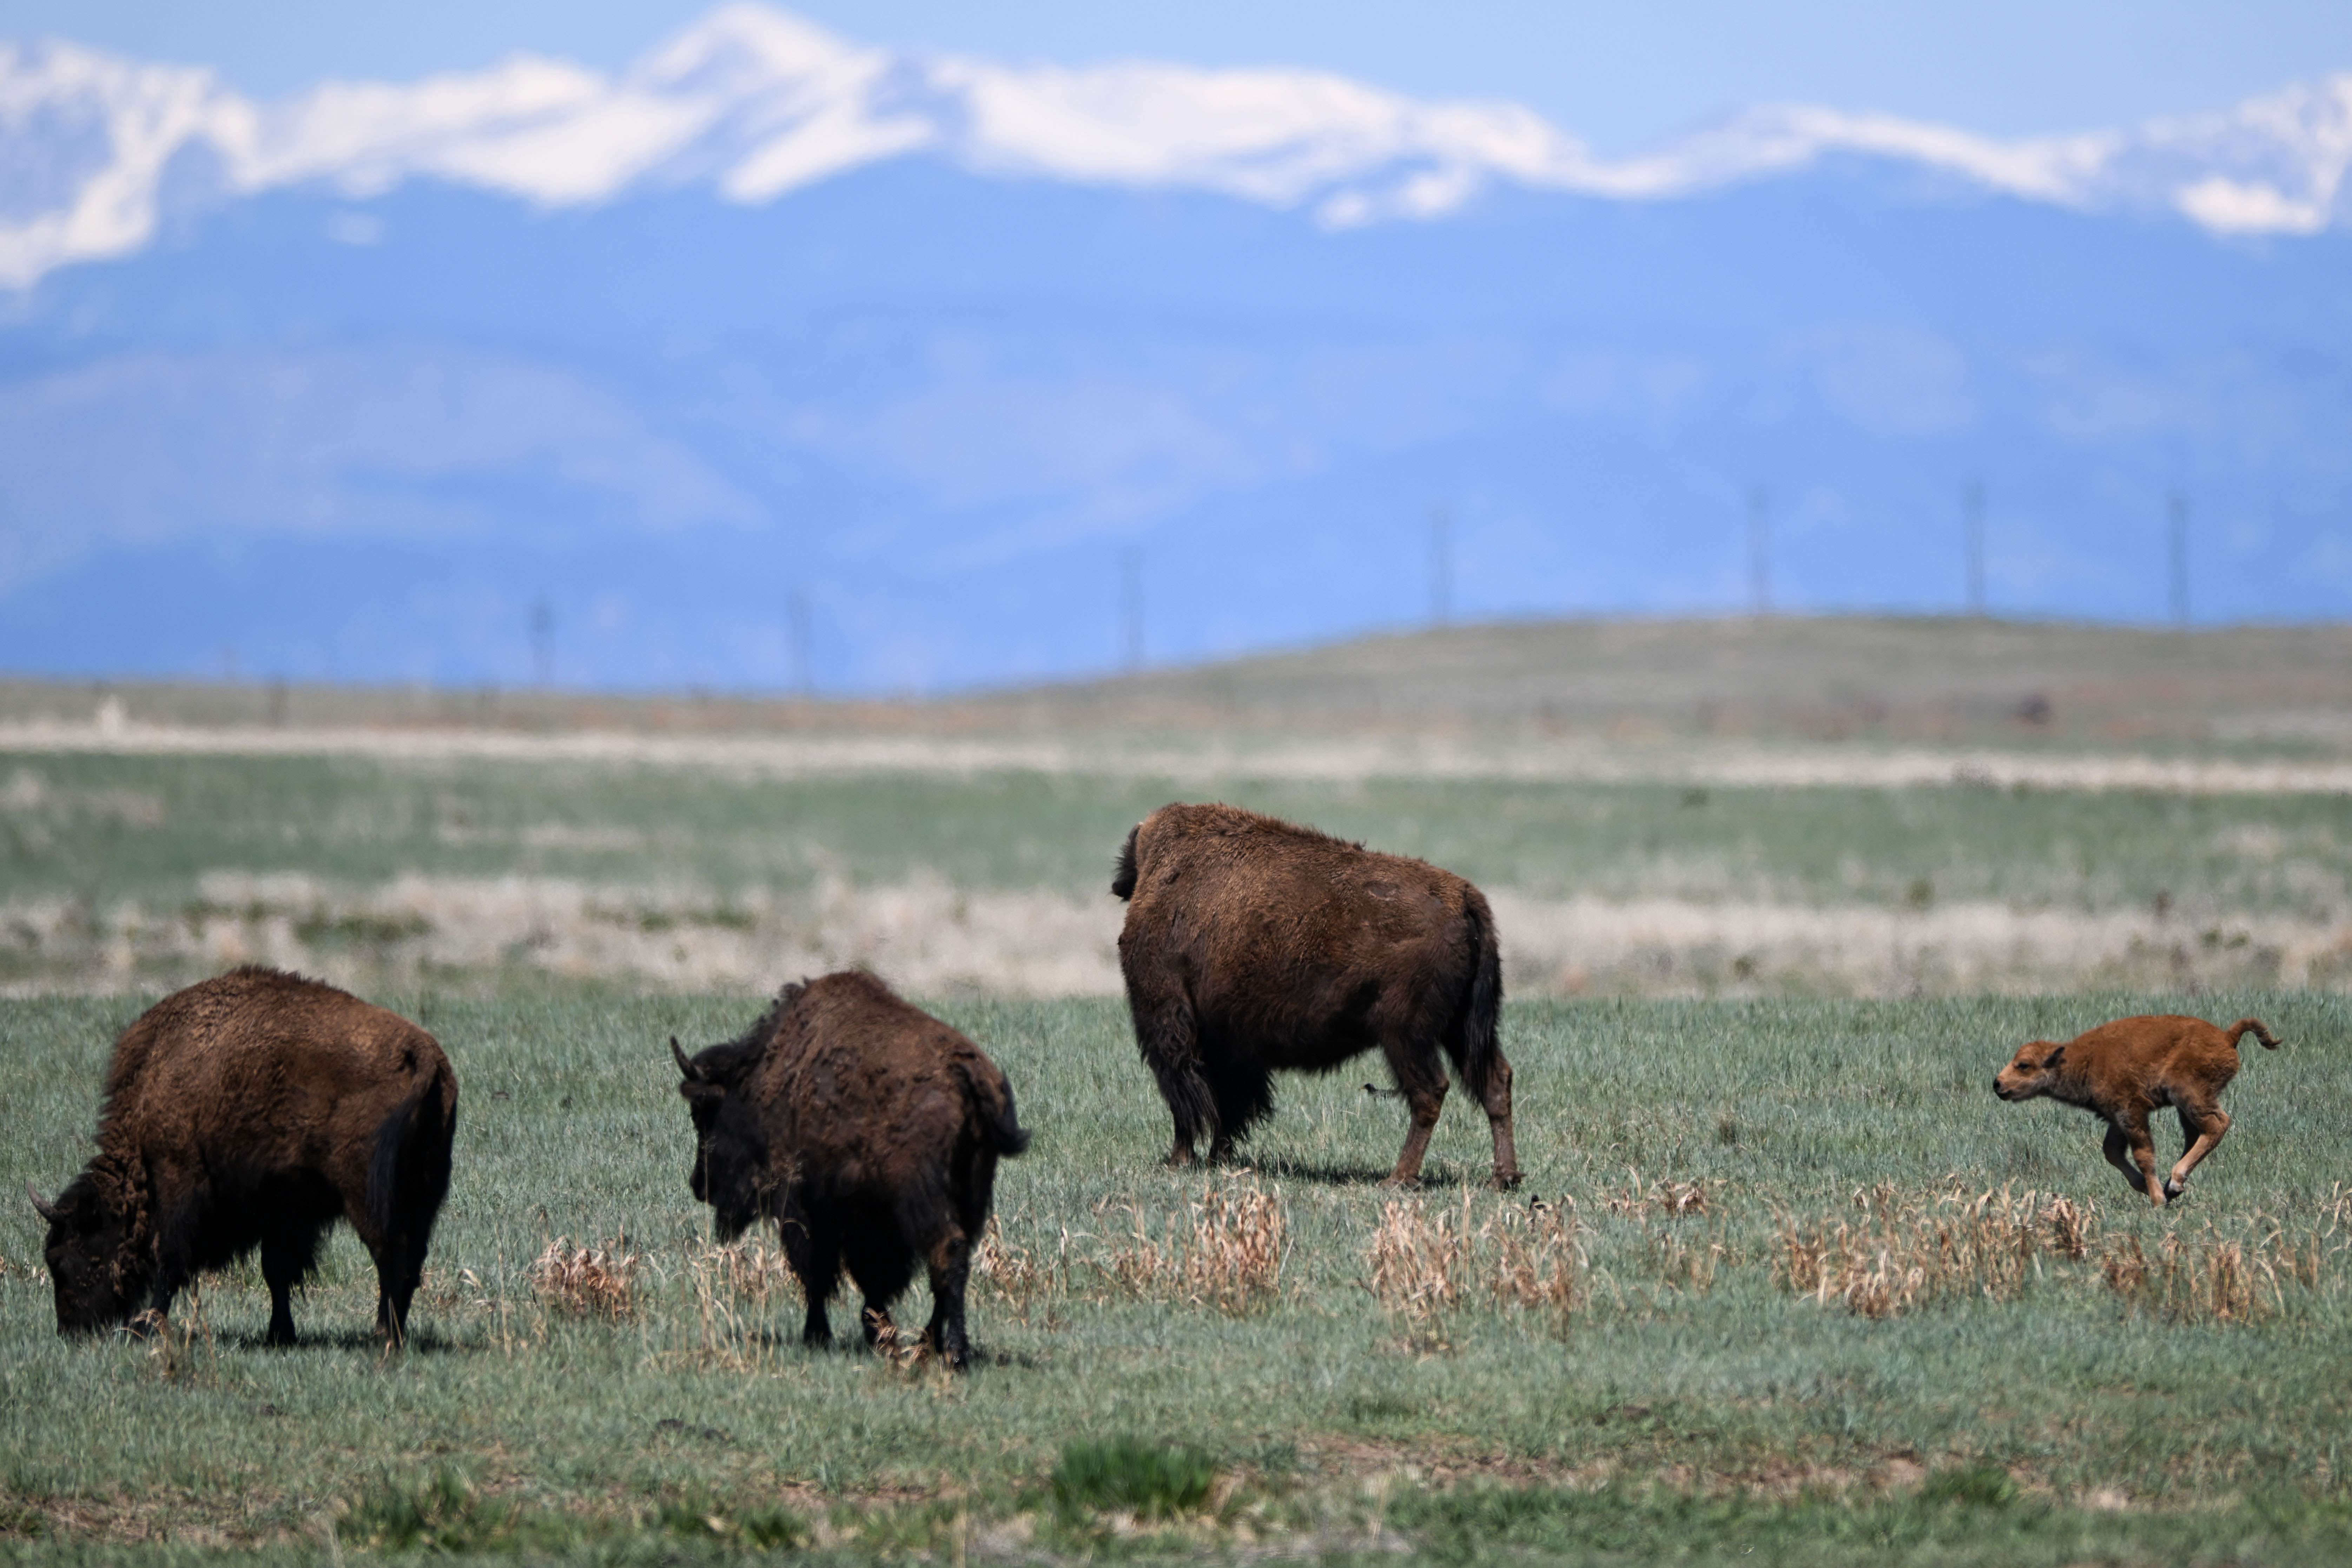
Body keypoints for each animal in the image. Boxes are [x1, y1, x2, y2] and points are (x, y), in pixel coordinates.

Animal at [30, 966, 458, 1345]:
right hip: (423, 1193)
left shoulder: (180, 1179)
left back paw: (383, 1337)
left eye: (67, 1258)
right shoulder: (281, 1209)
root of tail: (420, 1052)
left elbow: (169, 1258)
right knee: (410, 1260)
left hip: (367, 1196)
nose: (71, 1331)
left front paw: (146, 1328)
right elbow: (276, 1270)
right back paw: (391, 1335)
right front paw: (280, 1335)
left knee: (390, 1257)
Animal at [670, 969, 1030, 1370]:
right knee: (955, 1260)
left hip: (925, 1198)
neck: (761, 1080)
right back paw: (928, 1345)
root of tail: (964, 1072)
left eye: (702, 1115)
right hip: (972, 1193)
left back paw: (951, 1352)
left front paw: (819, 1335)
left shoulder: (802, 1206)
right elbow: (869, 1277)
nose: (699, 1184)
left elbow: (816, 1272)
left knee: (946, 1252)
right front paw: (876, 1334)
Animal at [1112, 801, 1521, 1188]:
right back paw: (1503, 1178)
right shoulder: (1231, 1046)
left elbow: (1187, 1100)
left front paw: (1180, 1160)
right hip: (1461, 1029)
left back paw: (1398, 1178)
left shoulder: (1171, 1025)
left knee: (1429, 1092)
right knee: (1495, 1082)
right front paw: (1217, 1159)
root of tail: (1464, 897)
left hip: (1406, 1036)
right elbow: (1230, 1105)